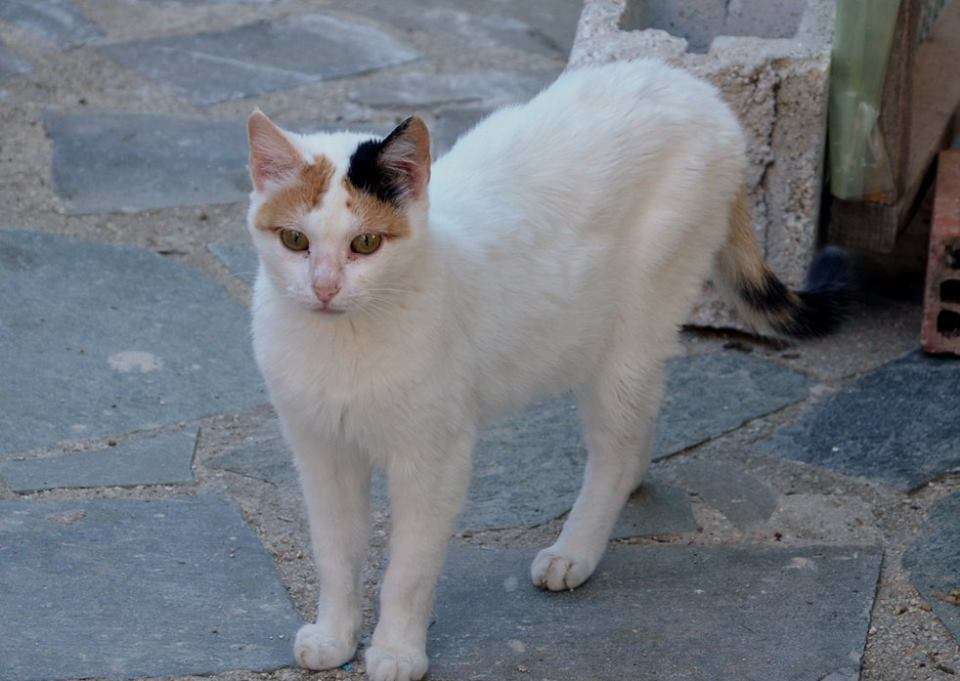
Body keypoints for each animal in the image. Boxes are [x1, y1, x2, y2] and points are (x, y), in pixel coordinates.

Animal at [244, 59, 845, 681]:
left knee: (614, 449)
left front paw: (396, 650)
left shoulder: (432, 459)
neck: (344, 344)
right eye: (295, 240)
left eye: (365, 243)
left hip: (629, 336)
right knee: (640, 420)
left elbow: (407, 569)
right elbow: (336, 554)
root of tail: (693, 87)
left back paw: (574, 551)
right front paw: (336, 636)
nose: (324, 288)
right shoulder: (320, 451)